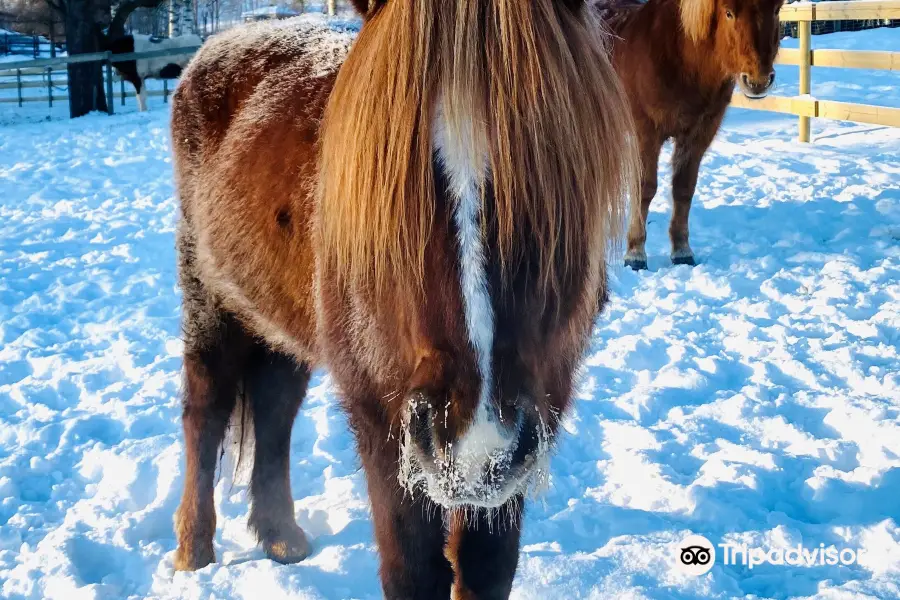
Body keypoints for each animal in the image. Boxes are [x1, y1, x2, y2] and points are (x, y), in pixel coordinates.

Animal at [167, 2, 632, 596]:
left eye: (547, 155)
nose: (474, 442)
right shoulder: (380, 419)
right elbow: (412, 570)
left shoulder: (521, 437)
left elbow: (486, 566)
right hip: (211, 301)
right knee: (205, 411)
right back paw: (194, 552)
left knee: (274, 406)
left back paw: (280, 537)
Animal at [596, 0, 780, 270]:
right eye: (728, 13)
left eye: (776, 11)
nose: (758, 81)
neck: (680, 60)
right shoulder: (645, 133)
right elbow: (645, 188)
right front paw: (635, 253)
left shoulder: (699, 134)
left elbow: (683, 188)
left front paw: (682, 250)